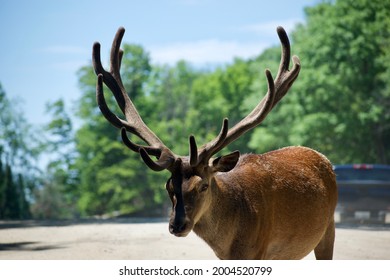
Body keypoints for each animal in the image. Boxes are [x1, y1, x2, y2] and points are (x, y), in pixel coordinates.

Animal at [92, 26, 338, 260]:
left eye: (203, 185)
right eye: (168, 186)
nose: (177, 226)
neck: (232, 245)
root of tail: (322, 157)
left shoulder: (259, 251)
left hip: (328, 230)